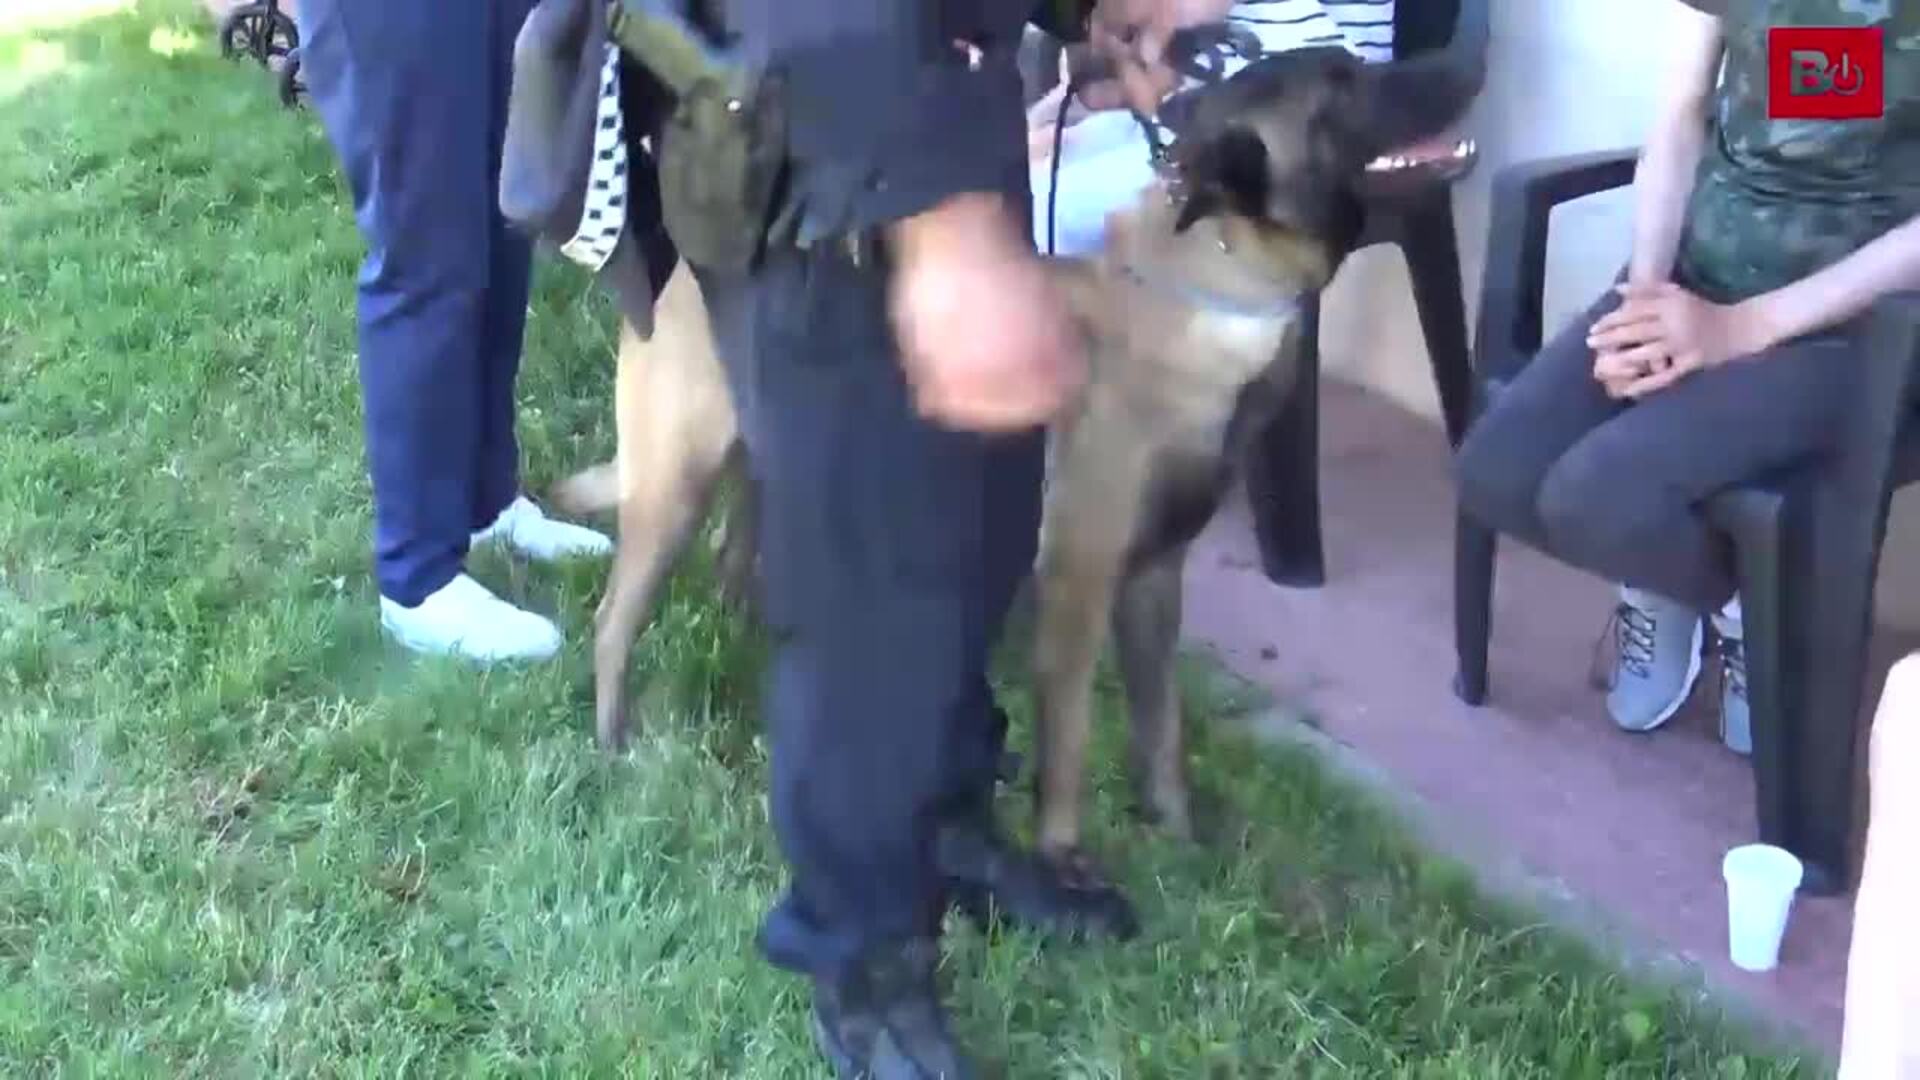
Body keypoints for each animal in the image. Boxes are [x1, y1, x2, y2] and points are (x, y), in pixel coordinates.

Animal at [549, 46, 1474, 876]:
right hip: (675, 487)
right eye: (1344, 88)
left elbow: (1163, 731)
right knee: (616, 622)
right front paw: (1063, 868)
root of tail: (687, 270)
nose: (1471, 60)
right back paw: (614, 741)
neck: (1210, 283)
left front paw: (1175, 837)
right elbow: (1067, 747)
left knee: (737, 566)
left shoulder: (1153, 580)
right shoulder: (1078, 585)